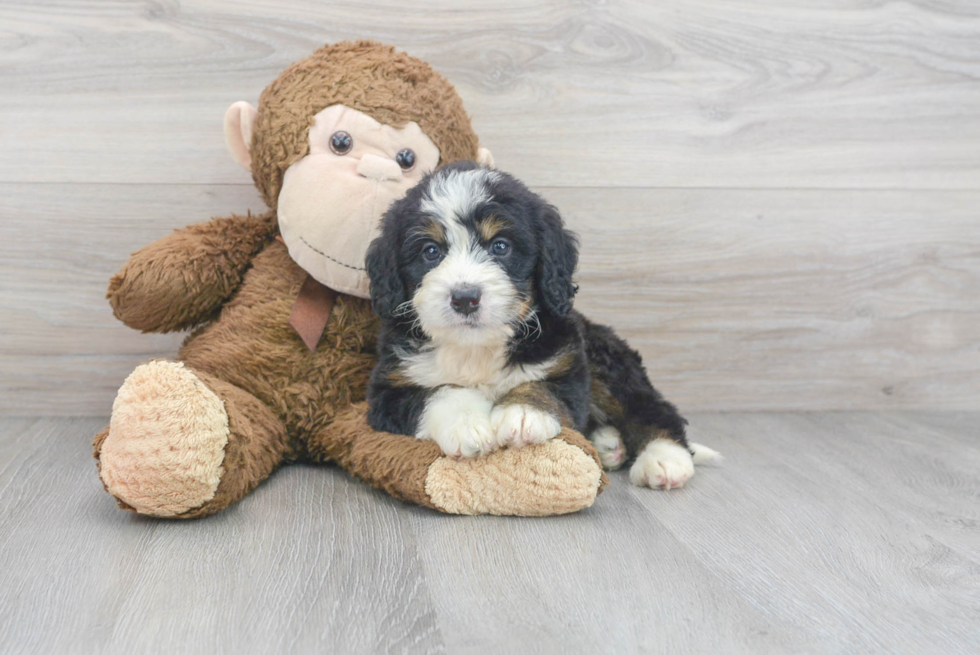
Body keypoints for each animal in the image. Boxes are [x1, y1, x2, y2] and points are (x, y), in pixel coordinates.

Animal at [364, 161, 716, 490]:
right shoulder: (389, 388)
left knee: (651, 408)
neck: (477, 348)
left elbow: (542, 385)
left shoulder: (567, 363)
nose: (465, 298)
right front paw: (467, 425)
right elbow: (438, 392)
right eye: (431, 251)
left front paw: (523, 413)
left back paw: (664, 458)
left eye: (500, 246)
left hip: (605, 361)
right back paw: (609, 445)